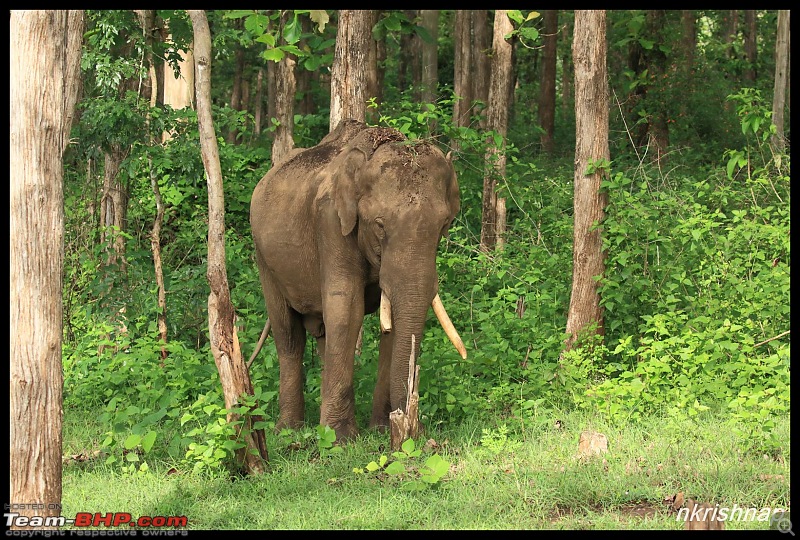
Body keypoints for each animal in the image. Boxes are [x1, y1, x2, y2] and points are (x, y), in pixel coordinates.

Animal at [247, 119, 466, 442]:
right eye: (379, 225)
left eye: (444, 225)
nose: (412, 432)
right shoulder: (330, 222)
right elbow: (346, 309)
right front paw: (339, 439)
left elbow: (389, 321)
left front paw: (381, 429)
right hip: (264, 259)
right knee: (288, 335)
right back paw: (288, 430)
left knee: (322, 333)